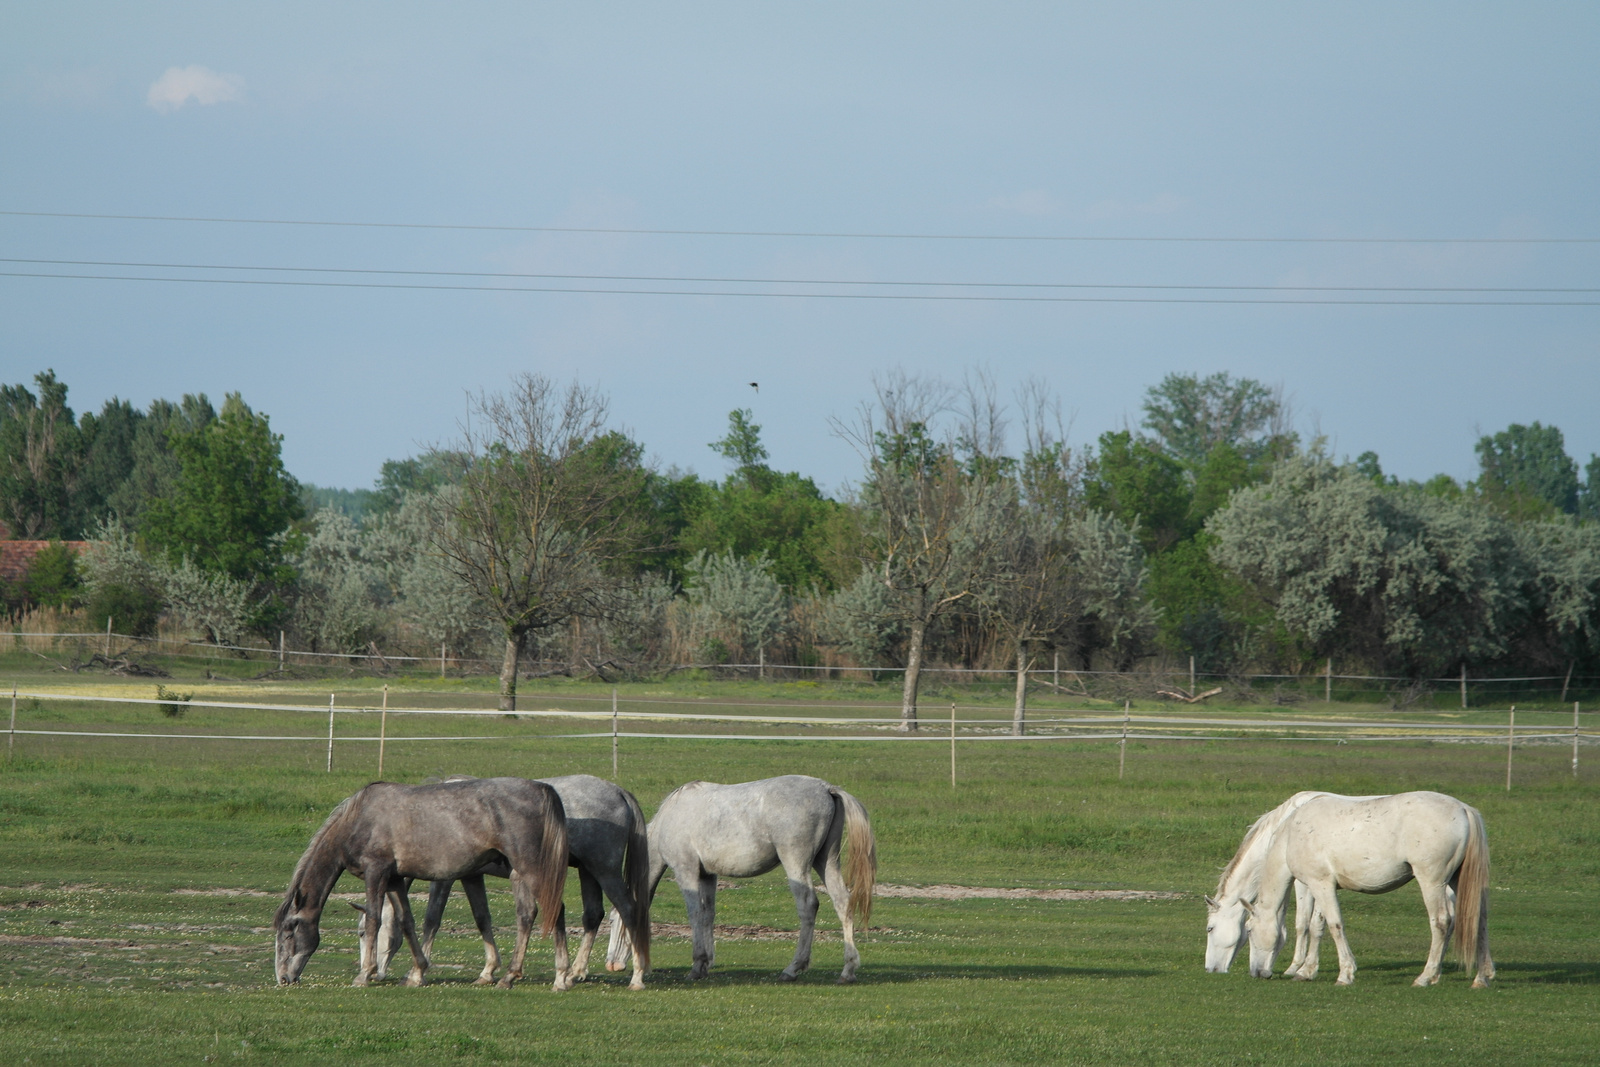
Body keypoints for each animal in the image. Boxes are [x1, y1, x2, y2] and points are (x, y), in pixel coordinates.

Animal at [273, 777, 569, 991]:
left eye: (289, 931)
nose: (283, 978)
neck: (359, 819)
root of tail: (542, 789)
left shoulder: (375, 872)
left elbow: (374, 920)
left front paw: (364, 974)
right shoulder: (393, 879)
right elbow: (406, 921)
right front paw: (417, 972)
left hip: (531, 868)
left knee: (553, 911)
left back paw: (553, 976)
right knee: (534, 914)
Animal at [371, 777, 652, 991]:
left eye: (366, 932)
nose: (377, 973)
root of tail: (618, 791)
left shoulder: (445, 878)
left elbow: (432, 919)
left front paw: (416, 972)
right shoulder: (471, 876)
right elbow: (482, 918)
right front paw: (488, 971)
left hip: (604, 870)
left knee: (628, 910)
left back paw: (636, 977)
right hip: (588, 871)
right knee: (593, 915)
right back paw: (574, 973)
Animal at [601, 777, 876, 985]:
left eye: (614, 920)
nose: (611, 964)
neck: (669, 820)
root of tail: (826, 788)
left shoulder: (685, 870)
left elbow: (694, 913)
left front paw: (696, 965)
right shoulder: (707, 875)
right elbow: (707, 915)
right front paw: (706, 963)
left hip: (796, 862)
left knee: (808, 905)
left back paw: (792, 968)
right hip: (825, 860)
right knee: (843, 902)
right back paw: (848, 970)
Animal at [1241, 790, 1491, 991]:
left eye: (1249, 931)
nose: (1256, 972)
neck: (1292, 832)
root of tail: (1464, 809)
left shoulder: (1319, 884)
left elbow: (1335, 925)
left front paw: (1345, 973)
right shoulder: (1322, 885)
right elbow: (1317, 926)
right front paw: (1307, 971)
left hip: (1432, 882)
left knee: (1441, 922)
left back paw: (1425, 977)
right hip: (1458, 881)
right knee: (1478, 919)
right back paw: (1481, 977)